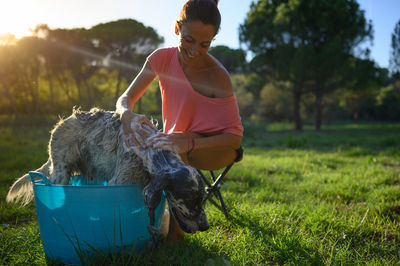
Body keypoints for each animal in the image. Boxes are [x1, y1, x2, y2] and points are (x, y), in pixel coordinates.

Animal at [7, 107, 209, 234]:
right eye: (190, 201)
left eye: (202, 199)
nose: (206, 226)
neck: (149, 149)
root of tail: (64, 121)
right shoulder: (119, 182)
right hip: (60, 172)